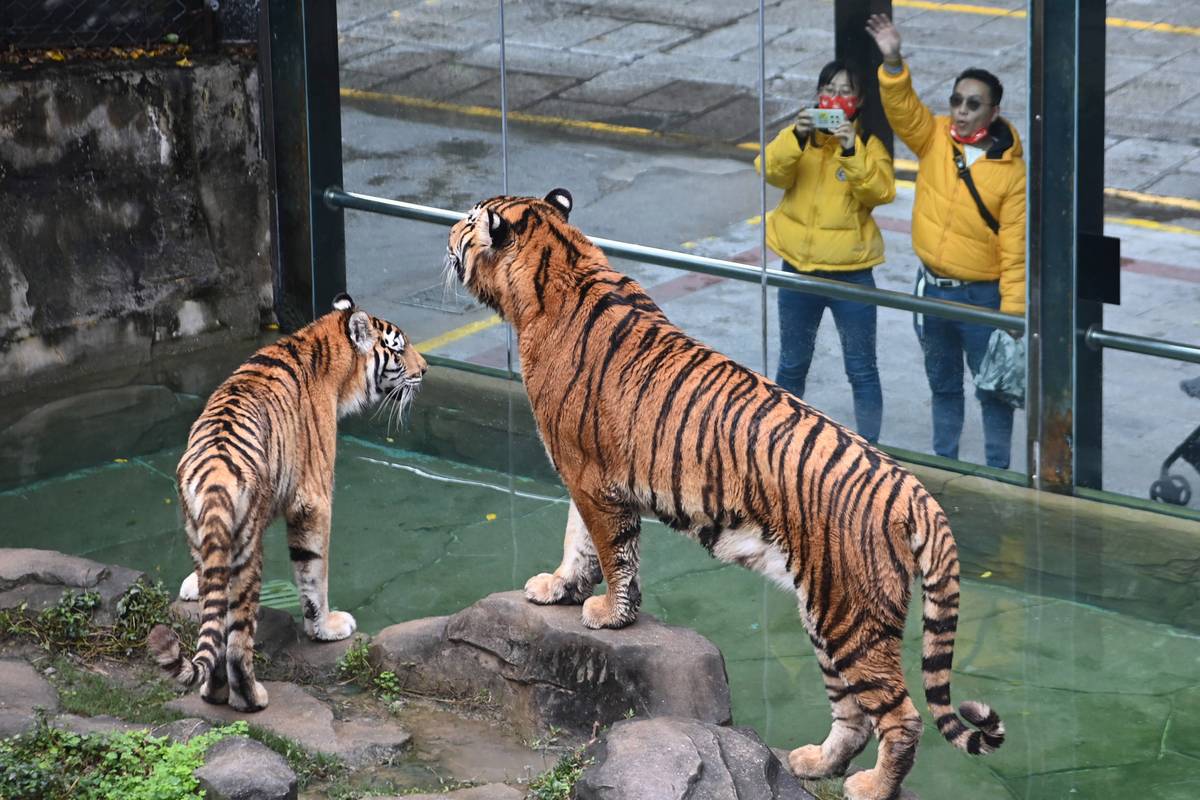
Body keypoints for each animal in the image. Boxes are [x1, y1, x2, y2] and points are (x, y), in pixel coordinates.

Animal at [147, 293, 427, 714]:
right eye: (399, 348)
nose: (425, 369)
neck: (322, 343)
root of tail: (213, 475)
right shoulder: (314, 499)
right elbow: (314, 573)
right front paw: (327, 627)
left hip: (200, 533)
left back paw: (213, 692)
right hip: (246, 556)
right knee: (236, 640)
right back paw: (251, 698)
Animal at [441, 191, 1003, 800]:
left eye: (468, 221)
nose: (447, 234)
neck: (558, 265)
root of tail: (914, 491)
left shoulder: (589, 476)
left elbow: (612, 552)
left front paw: (608, 614)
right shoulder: (582, 474)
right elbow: (579, 542)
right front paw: (559, 587)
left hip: (851, 616)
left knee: (902, 716)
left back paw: (872, 786)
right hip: (829, 615)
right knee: (853, 713)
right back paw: (812, 763)